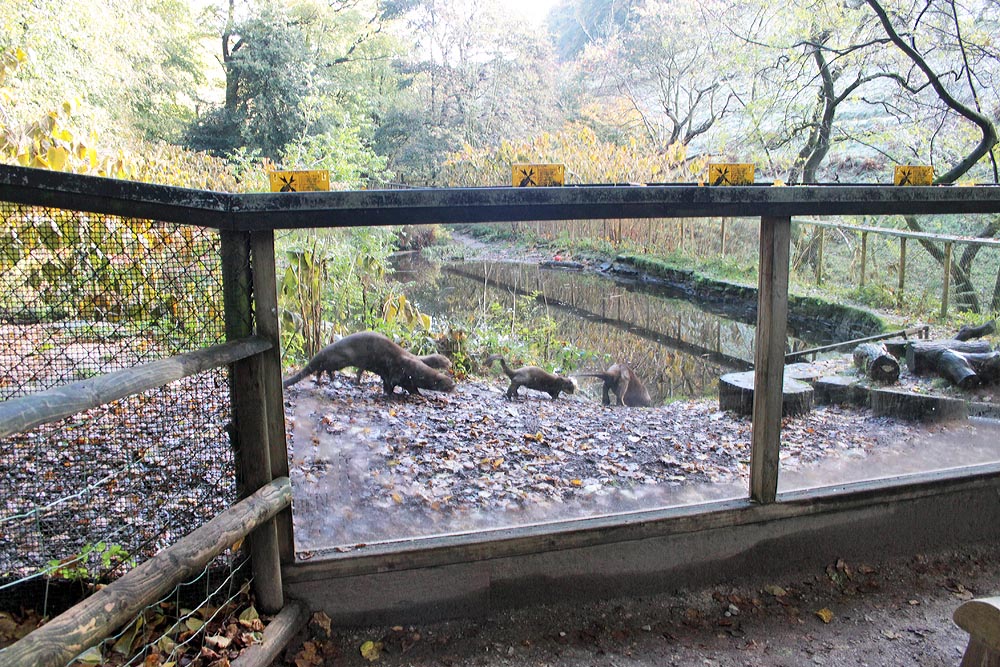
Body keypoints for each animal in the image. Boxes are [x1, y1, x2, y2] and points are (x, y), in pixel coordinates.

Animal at [283, 331, 455, 396]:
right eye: (448, 383)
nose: (454, 386)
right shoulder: (398, 372)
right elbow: (398, 384)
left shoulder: (395, 375)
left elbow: (394, 384)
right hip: (339, 359)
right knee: (323, 366)